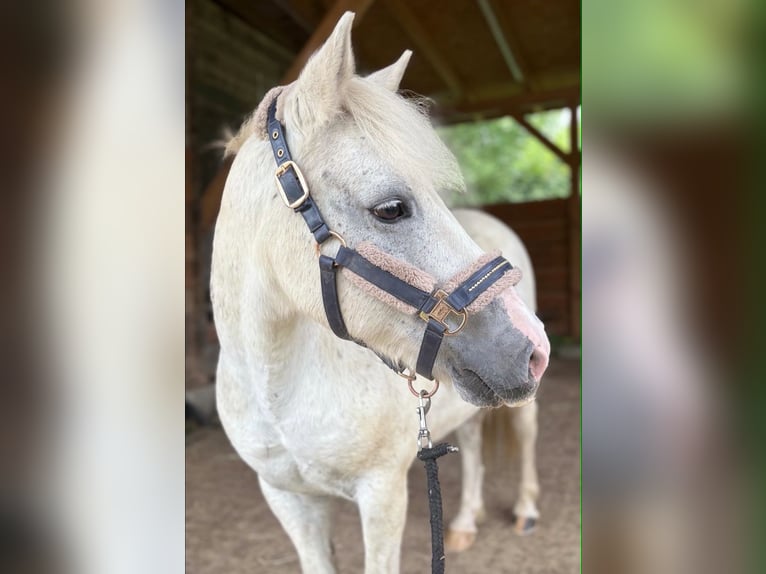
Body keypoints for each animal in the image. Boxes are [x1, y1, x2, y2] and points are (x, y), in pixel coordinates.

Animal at [211, 12, 550, 573]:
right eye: (390, 208)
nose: (533, 347)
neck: (278, 389)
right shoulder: (290, 501)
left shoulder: (382, 494)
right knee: (473, 440)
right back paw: (463, 523)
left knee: (525, 436)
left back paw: (524, 510)